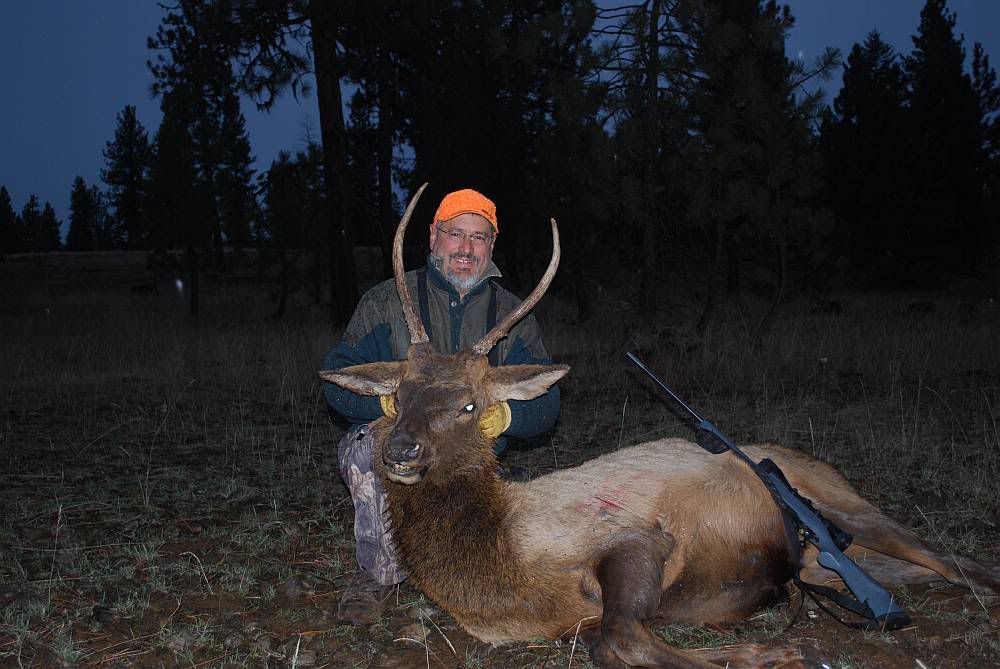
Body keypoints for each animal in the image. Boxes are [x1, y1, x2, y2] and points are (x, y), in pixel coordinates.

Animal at [320, 185, 1000, 669]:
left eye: (468, 406)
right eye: (397, 397)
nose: (401, 449)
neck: (501, 562)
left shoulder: (636, 538)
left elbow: (619, 637)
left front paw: (775, 649)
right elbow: (613, 638)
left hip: (845, 506)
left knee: (952, 558)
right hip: (827, 558)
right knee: (933, 567)